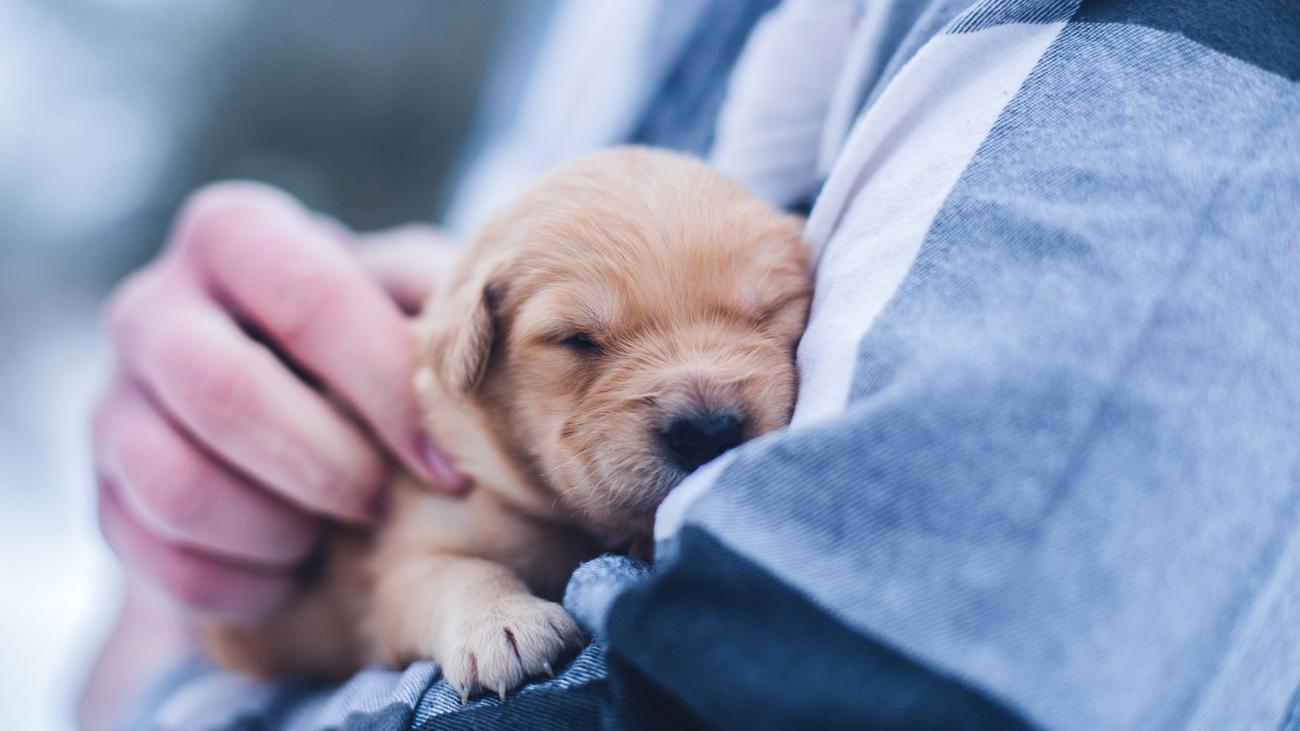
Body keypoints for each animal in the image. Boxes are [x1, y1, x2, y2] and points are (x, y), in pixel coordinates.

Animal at [204, 145, 811, 697]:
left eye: (768, 310)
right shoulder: (409, 550)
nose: (707, 432)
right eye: (576, 339)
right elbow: (454, 571)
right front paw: (502, 624)